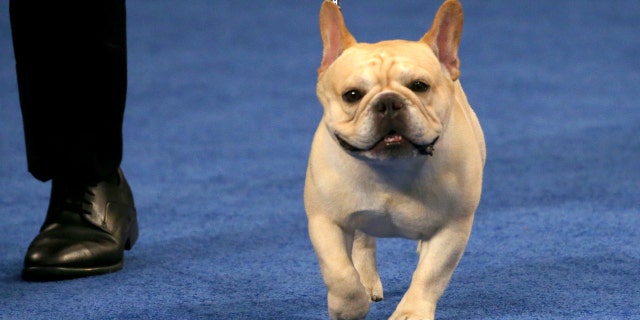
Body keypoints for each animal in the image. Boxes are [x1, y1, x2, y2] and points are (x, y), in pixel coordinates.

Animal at [304, 1, 484, 318]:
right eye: (352, 95)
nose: (388, 102)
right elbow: (339, 272)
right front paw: (348, 307)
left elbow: (430, 275)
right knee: (363, 242)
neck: (390, 167)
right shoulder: (325, 221)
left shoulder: (453, 227)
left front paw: (411, 313)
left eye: (420, 86)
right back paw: (367, 282)